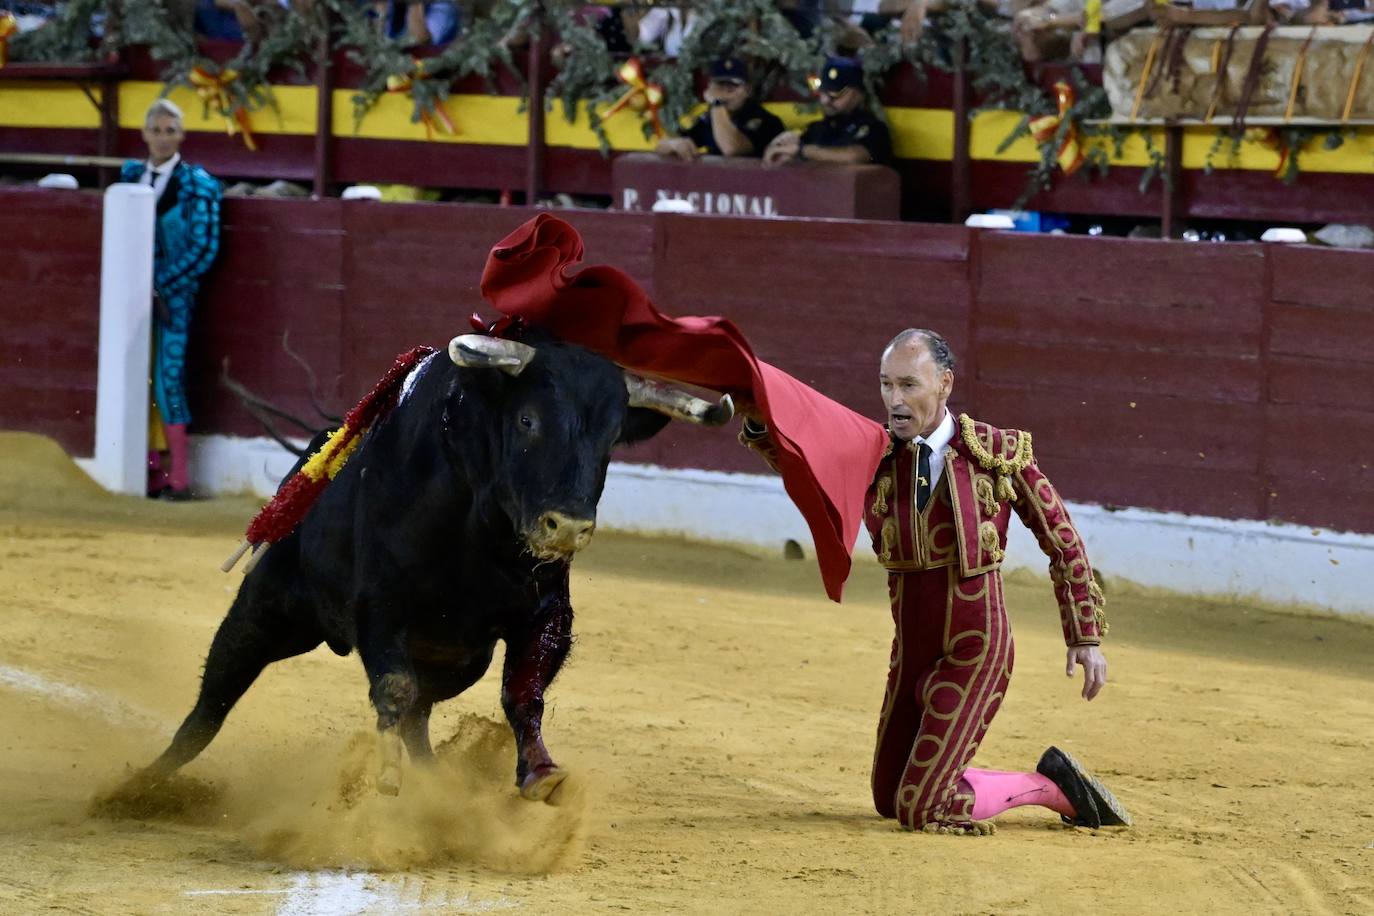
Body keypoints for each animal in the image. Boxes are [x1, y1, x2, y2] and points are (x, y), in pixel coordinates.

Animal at [139, 333, 736, 796]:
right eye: (527, 420)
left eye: (611, 438)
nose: (567, 527)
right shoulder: (379, 609)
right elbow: (393, 688)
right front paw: (386, 777)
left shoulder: (545, 612)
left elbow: (523, 693)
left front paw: (541, 773)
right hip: (268, 609)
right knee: (214, 698)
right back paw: (140, 786)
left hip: (457, 660)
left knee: (419, 716)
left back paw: (433, 780)